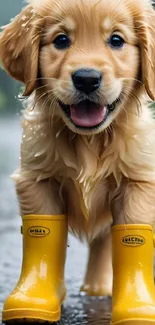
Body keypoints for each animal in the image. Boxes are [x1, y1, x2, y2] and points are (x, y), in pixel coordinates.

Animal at [0, 0, 155, 296]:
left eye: (116, 40)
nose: (86, 78)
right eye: (61, 40)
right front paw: (36, 295)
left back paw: (98, 287)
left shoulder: (138, 182)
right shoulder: (36, 180)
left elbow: (131, 235)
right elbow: (44, 240)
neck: (90, 141)